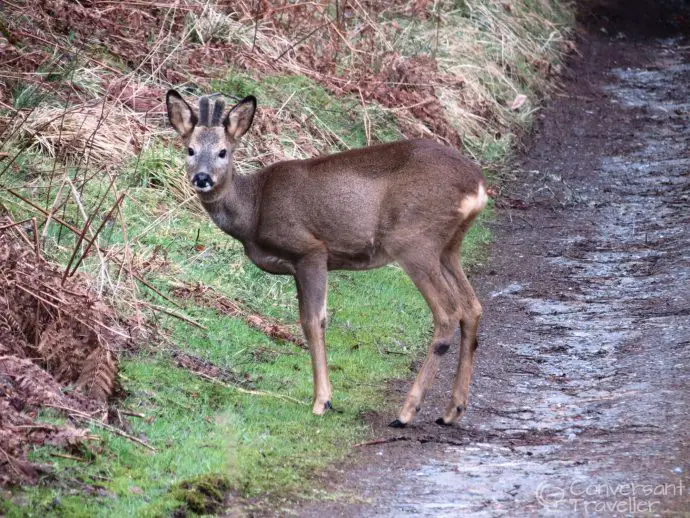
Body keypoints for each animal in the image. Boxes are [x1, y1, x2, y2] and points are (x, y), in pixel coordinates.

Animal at [164, 89, 486, 428]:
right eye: (190, 149)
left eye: (223, 152)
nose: (202, 178)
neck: (253, 210)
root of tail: (477, 186)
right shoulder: (295, 267)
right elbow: (305, 320)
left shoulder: (310, 250)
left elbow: (313, 321)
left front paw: (322, 401)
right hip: (448, 247)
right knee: (471, 307)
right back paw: (452, 410)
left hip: (414, 241)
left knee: (449, 312)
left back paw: (406, 412)